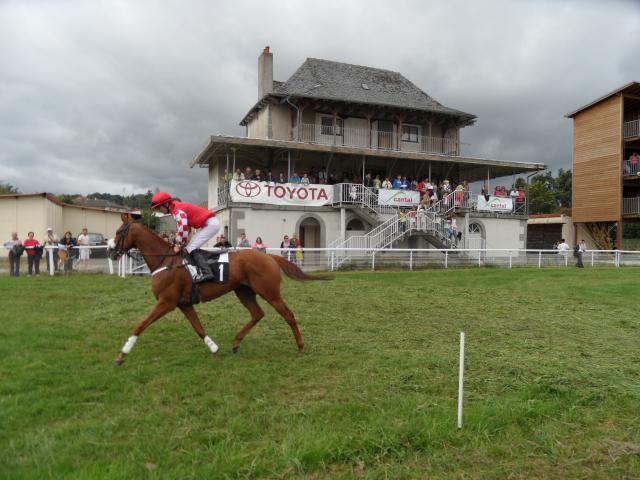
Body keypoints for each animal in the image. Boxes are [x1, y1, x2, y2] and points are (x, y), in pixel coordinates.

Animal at [109, 213, 328, 364]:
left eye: (119, 232)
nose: (111, 252)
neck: (166, 260)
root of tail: (269, 256)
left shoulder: (166, 302)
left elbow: (140, 325)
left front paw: (121, 355)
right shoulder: (183, 304)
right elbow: (198, 328)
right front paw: (214, 349)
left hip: (270, 292)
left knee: (288, 315)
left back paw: (300, 347)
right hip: (243, 291)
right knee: (257, 314)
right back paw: (236, 342)